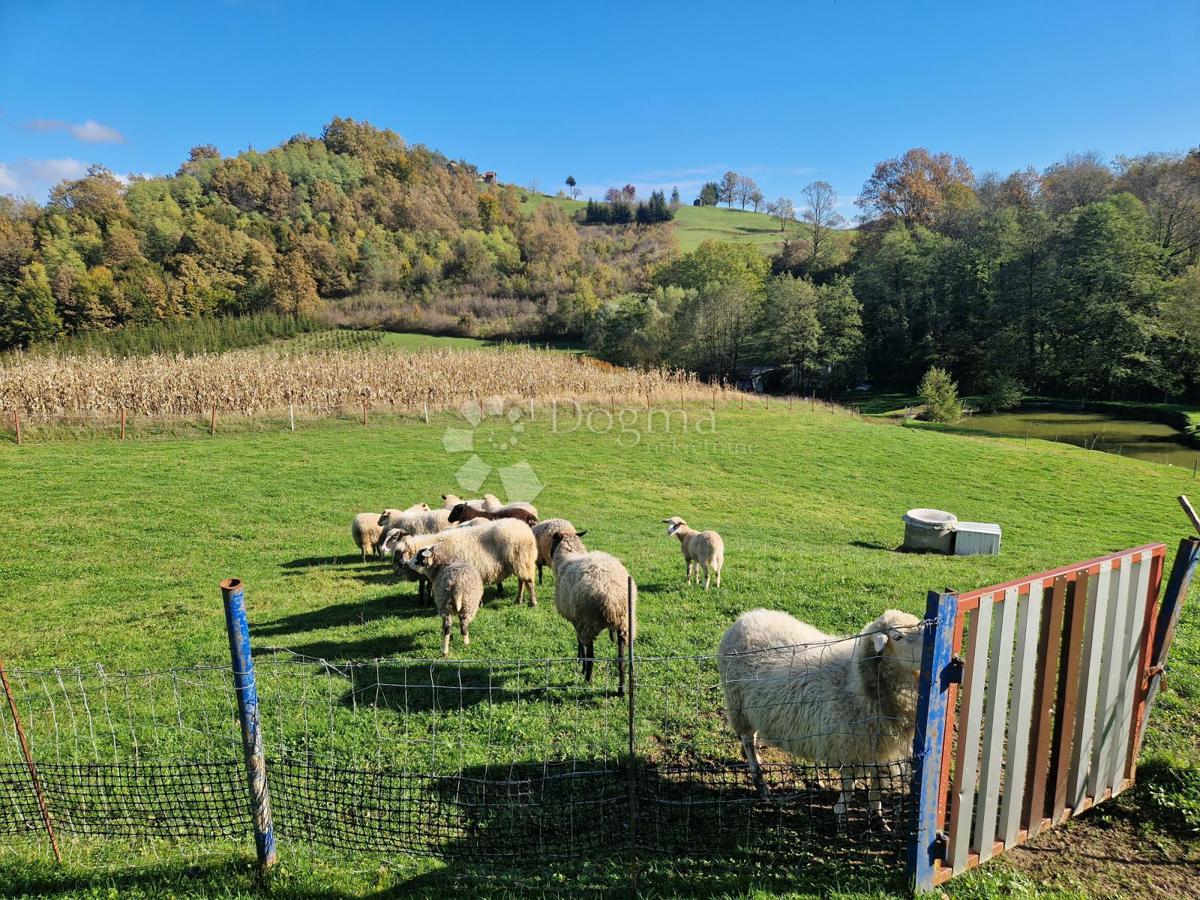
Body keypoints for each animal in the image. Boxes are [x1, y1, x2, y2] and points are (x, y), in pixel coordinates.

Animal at [386, 518, 537, 609]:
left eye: (398, 555)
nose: (395, 571)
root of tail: (524, 527)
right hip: (518, 562)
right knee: (521, 581)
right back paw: (518, 600)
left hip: (522, 560)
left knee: (528, 581)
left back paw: (532, 602)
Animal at [549, 535, 638, 696]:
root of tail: (611, 597)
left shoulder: (577, 620)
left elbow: (579, 643)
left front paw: (580, 662)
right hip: (624, 623)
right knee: (621, 658)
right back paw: (621, 689)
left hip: (589, 622)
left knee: (591, 654)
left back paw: (587, 678)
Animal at [715, 607, 921, 830]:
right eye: (897, 636)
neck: (856, 682)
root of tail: (746, 617)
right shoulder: (849, 744)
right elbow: (849, 784)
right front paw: (840, 814)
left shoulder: (880, 746)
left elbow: (877, 784)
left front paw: (878, 817)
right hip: (739, 705)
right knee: (748, 740)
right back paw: (760, 782)